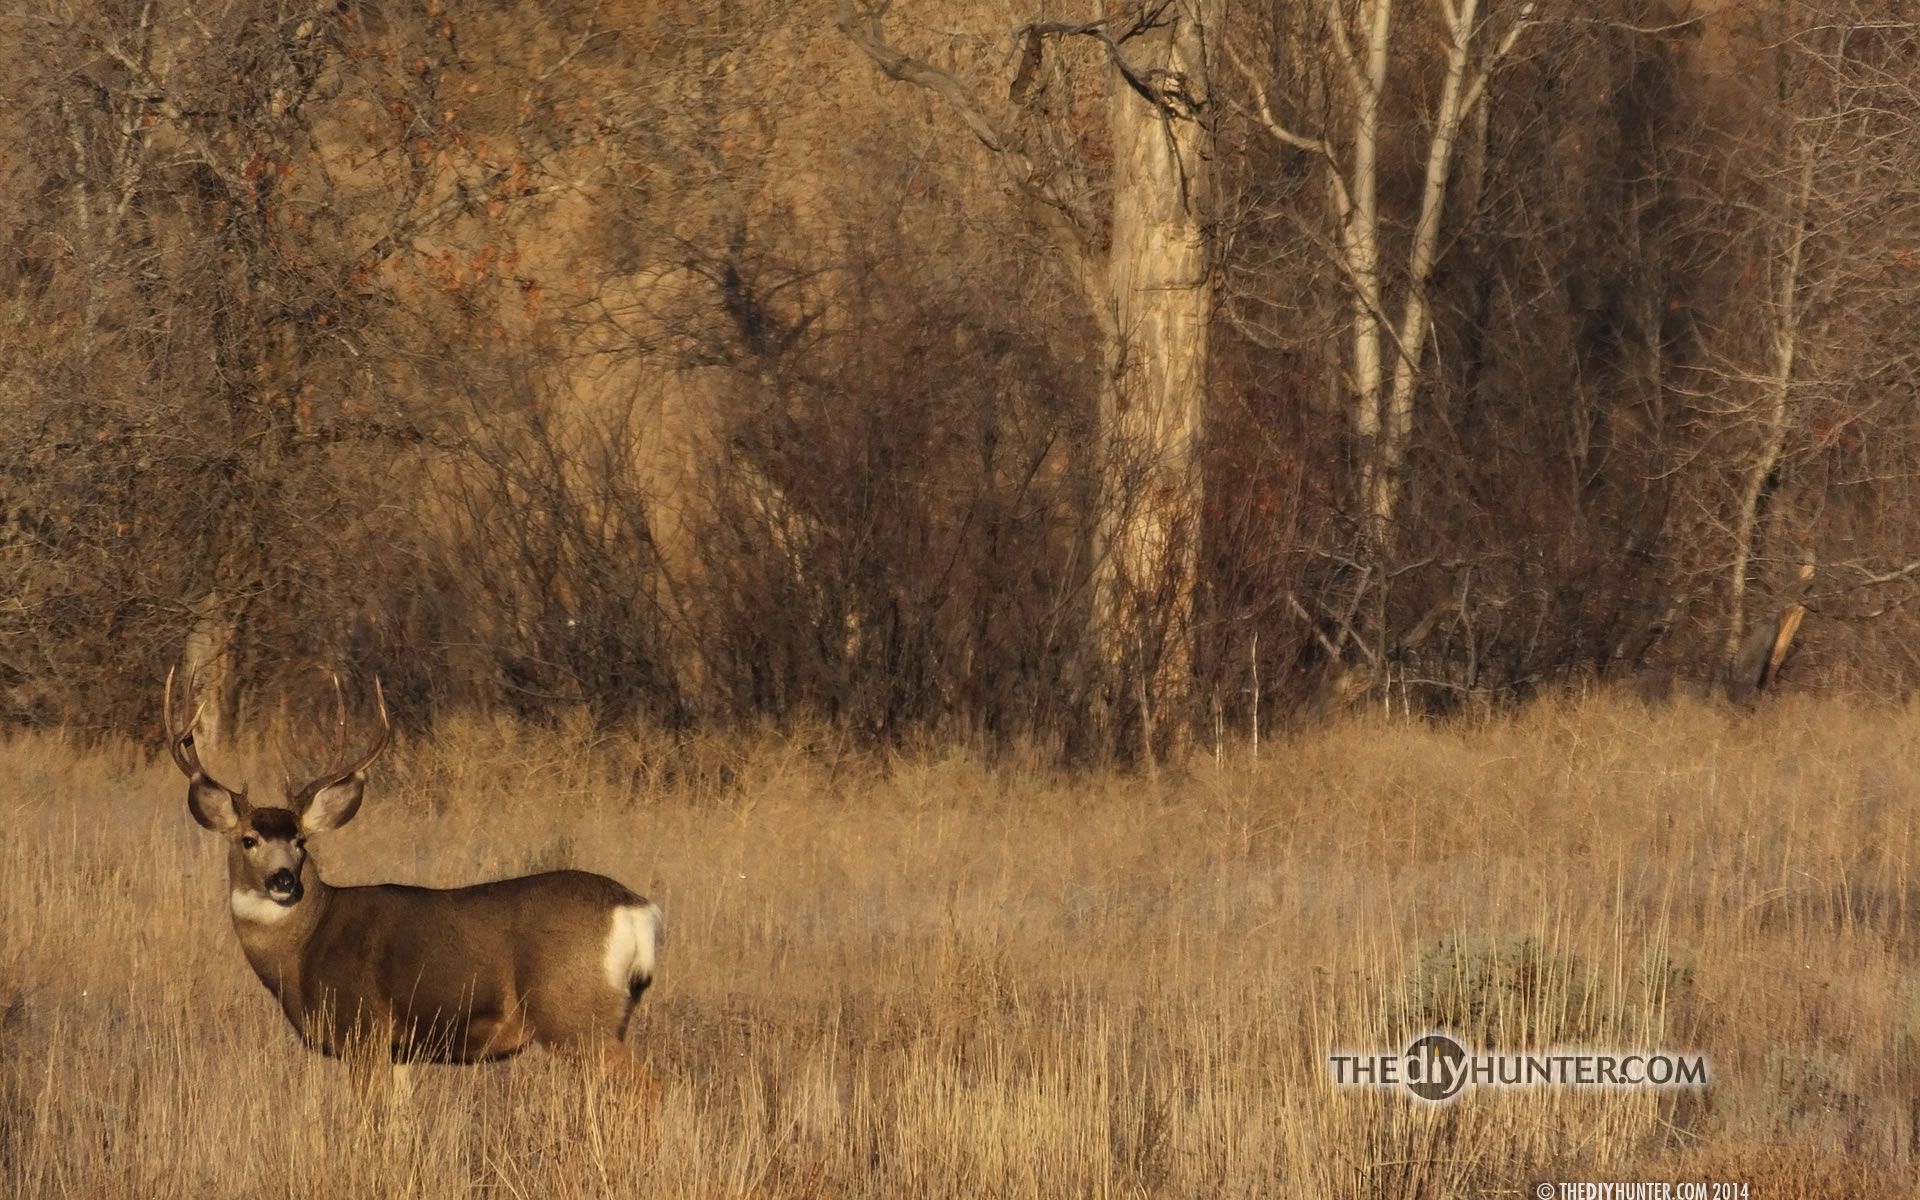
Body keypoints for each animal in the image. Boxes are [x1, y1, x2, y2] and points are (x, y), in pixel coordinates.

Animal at [164, 669, 662, 1095]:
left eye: (301, 840)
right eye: (248, 839)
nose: (283, 879)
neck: (305, 948)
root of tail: (636, 909)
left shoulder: (362, 1031)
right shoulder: (399, 1052)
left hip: (575, 1015)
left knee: (649, 1089)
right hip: (607, 1018)